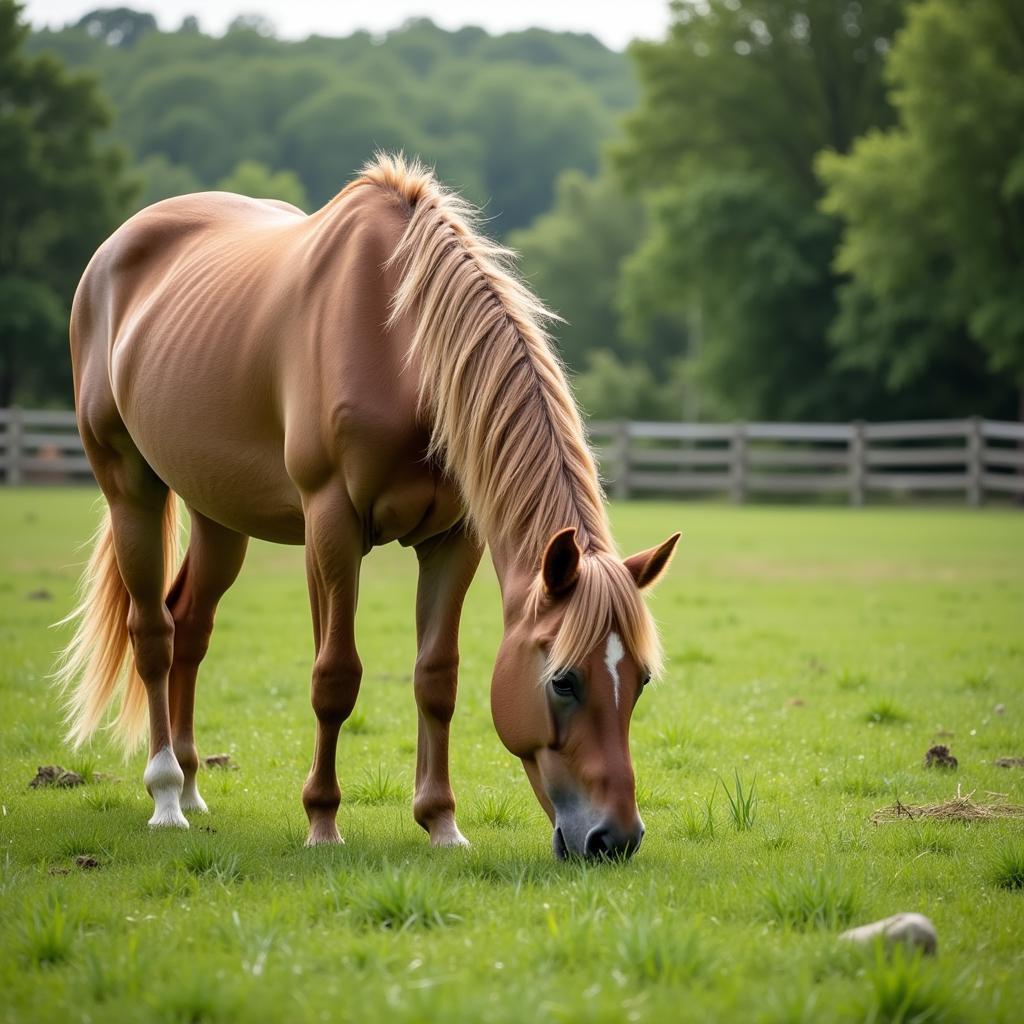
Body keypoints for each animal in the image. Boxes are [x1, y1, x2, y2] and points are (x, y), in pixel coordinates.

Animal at [58, 151, 679, 856]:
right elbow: (335, 677)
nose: (616, 838)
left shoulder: (453, 539)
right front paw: (322, 820)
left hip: (217, 513)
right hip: (130, 489)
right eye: (564, 680)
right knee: (154, 634)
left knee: (189, 625)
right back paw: (166, 796)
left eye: (641, 680)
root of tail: (115, 249)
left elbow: (437, 677)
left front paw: (441, 821)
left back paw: (191, 785)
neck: (400, 345)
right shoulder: (332, 526)